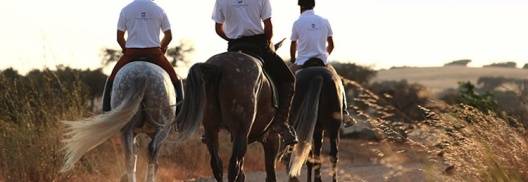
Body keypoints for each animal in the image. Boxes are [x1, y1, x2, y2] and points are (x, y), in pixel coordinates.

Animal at [175, 51, 282, 182]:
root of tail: (219, 66)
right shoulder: (272, 138)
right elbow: (270, 172)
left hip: (211, 128)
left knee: (217, 164)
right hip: (241, 132)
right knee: (233, 165)